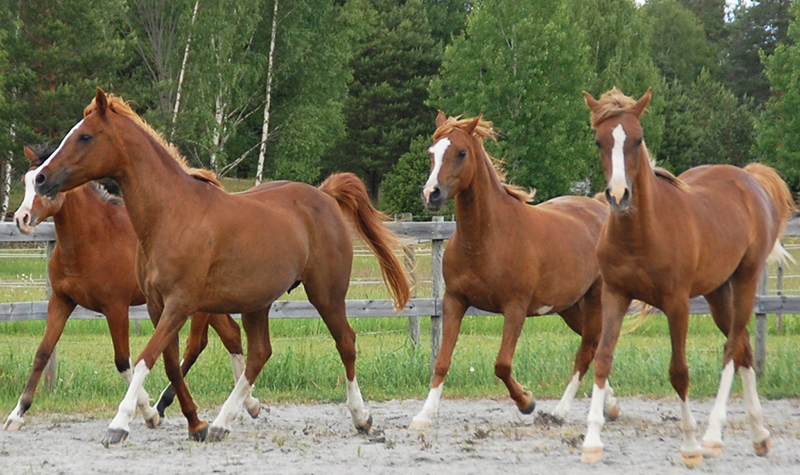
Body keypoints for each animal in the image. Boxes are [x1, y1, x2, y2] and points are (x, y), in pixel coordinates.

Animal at [3, 147, 260, 434]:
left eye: (43, 183)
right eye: (25, 180)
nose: (21, 219)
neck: (93, 238)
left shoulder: (115, 308)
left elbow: (123, 361)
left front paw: (147, 412)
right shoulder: (61, 301)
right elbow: (42, 354)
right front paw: (17, 414)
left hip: (195, 305)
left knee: (198, 344)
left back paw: (171, 405)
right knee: (231, 335)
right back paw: (249, 404)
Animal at [30, 88, 410, 446]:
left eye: (85, 136)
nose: (41, 178)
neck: (171, 215)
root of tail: (325, 195)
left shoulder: (179, 304)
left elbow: (144, 358)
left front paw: (120, 424)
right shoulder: (156, 306)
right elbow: (170, 363)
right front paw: (192, 423)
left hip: (326, 294)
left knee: (345, 342)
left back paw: (362, 419)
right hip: (257, 303)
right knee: (259, 353)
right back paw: (221, 423)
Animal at [410, 113, 616, 430]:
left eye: (461, 152)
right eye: (431, 153)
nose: (431, 194)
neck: (487, 237)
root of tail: (600, 209)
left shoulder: (515, 308)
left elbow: (502, 364)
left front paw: (527, 402)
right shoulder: (454, 301)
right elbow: (442, 360)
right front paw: (424, 415)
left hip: (595, 299)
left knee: (587, 350)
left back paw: (560, 412)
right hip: (569, 307)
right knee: (595, 347)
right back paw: (611, 405)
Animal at [580, 87, 792, 466]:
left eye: (638, 139)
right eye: (598, 140)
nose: (618, 196)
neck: (641, 233)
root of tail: (750, 179)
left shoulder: (677, 304)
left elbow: (679, 372)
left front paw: (691, 445)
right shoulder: (614, 295)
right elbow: (602, 359)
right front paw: (591, 442)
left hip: (746, 279)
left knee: (732, 347)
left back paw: (712, 436)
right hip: (717, 292)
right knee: (744, 347)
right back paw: (759, 435)